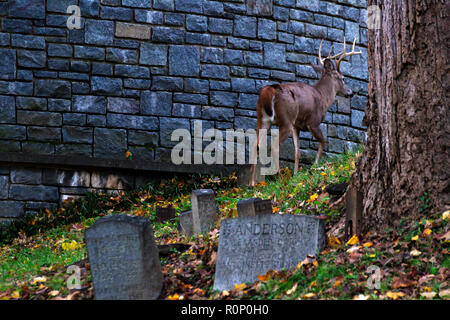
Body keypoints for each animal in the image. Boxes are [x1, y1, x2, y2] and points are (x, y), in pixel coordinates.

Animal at [250, 37, 362, 186]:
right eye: (343, 78)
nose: (351, 92)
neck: (322, 96)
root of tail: (269, 91)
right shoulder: (313, 122)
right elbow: (323, 141)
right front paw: (315, 166)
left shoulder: (296, 126)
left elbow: (297, 151)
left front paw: (296, 174)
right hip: (285, 119)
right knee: (273, 146)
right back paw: (279, 178)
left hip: (262, 119)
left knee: (255, 145)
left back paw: (251, 184)